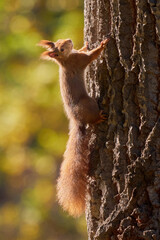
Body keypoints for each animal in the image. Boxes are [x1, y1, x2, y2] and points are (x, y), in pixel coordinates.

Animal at [37, 38, 110, 218]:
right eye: (61, 48)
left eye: (60, 41)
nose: (69, 40)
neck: (65, 59)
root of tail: (77, 120)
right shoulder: (80, 61)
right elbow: (92, 56)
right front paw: (102, 44)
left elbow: (83, 50)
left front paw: (85, 44)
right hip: (89, 103)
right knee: (93, 119)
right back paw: (99, 118)